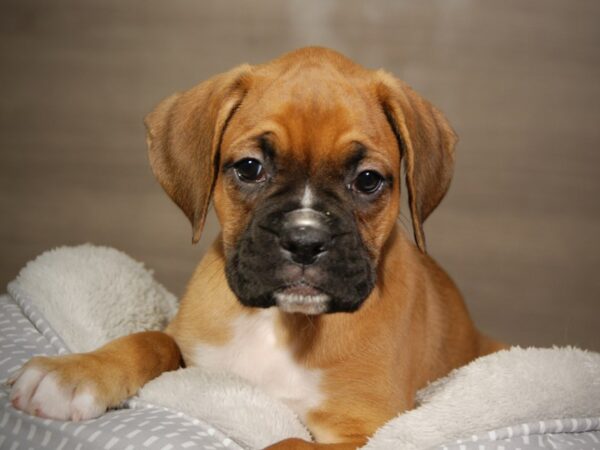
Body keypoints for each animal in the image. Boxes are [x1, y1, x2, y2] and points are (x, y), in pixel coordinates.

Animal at [10, 47, 506, 448]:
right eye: (249, 168)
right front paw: (76, 371)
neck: (283, 323)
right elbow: (149, 340)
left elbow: (289, 443)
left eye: (367, 180)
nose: (304, 241)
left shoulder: (367, 432)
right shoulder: (193, 358)